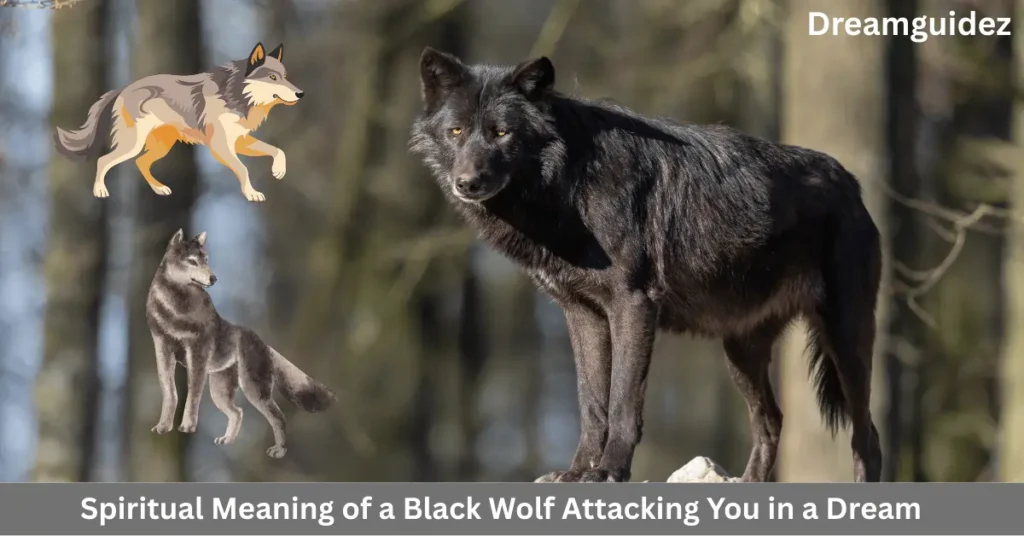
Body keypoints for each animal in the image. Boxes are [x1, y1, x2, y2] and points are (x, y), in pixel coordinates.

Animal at [54, 42, 303, 203]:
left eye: (286, 76)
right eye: (273, 77)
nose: (301, 94)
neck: (237, 95)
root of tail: (122, 88)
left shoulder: (239, 140)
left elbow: (277, 150)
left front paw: (278, 171)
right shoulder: (220, 146)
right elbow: (243, 168)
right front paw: (252, 193)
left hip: (162, 146)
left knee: (140, 162)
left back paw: (160, 189)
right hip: (133, 144)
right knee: (103, 160)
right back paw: (100, 192)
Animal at [146, 229, 335, 458]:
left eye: (206, 260)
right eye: (192, 261)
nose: (213, 278)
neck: (175, 308)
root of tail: (265, 345)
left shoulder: (197, 352)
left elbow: (192, 396)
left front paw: (187, 427)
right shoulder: (162, 347)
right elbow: (170, 393)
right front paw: (163, 427)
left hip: (252, 389)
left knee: (277, 416)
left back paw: (278, 451)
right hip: (220, 392)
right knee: (238, 412)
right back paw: (227, 440)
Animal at [410, 48, 884, 483]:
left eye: (502, 132)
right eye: (456, 131)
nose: (467, 183)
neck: (570, 183)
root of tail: (851, 184)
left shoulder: (633, 304)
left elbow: (622, 401)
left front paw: (609, 470)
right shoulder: (582, 314)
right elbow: (591, 404)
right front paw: (577, 471)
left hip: (845, 343)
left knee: (868, 435)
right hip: (741, 352)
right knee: (771, 421)